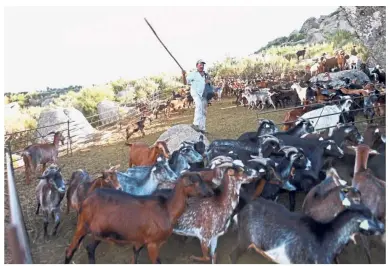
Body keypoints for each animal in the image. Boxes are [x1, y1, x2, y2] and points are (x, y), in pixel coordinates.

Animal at [65, 172, 215, 264]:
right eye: (195, 182)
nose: (211, 192)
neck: (167, 210)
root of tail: (87, 199)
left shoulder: (140, 241)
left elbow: (134, 258)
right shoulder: (152, 243)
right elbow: (157, 262)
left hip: (99, 232)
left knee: (90, 248)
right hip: (82, 225)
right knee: (70, 249)